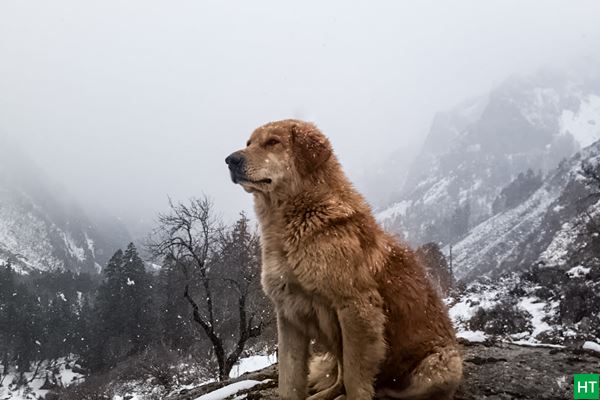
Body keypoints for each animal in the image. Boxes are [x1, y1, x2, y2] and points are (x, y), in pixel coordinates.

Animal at [227, 119, 462, 400]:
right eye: (249, 142)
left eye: (273, 142)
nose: (230, 160)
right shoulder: (289, 314)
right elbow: (289, 379)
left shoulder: (357, 307)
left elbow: (354, 376)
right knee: (337, 375)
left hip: (441, 365)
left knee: (387, 387)